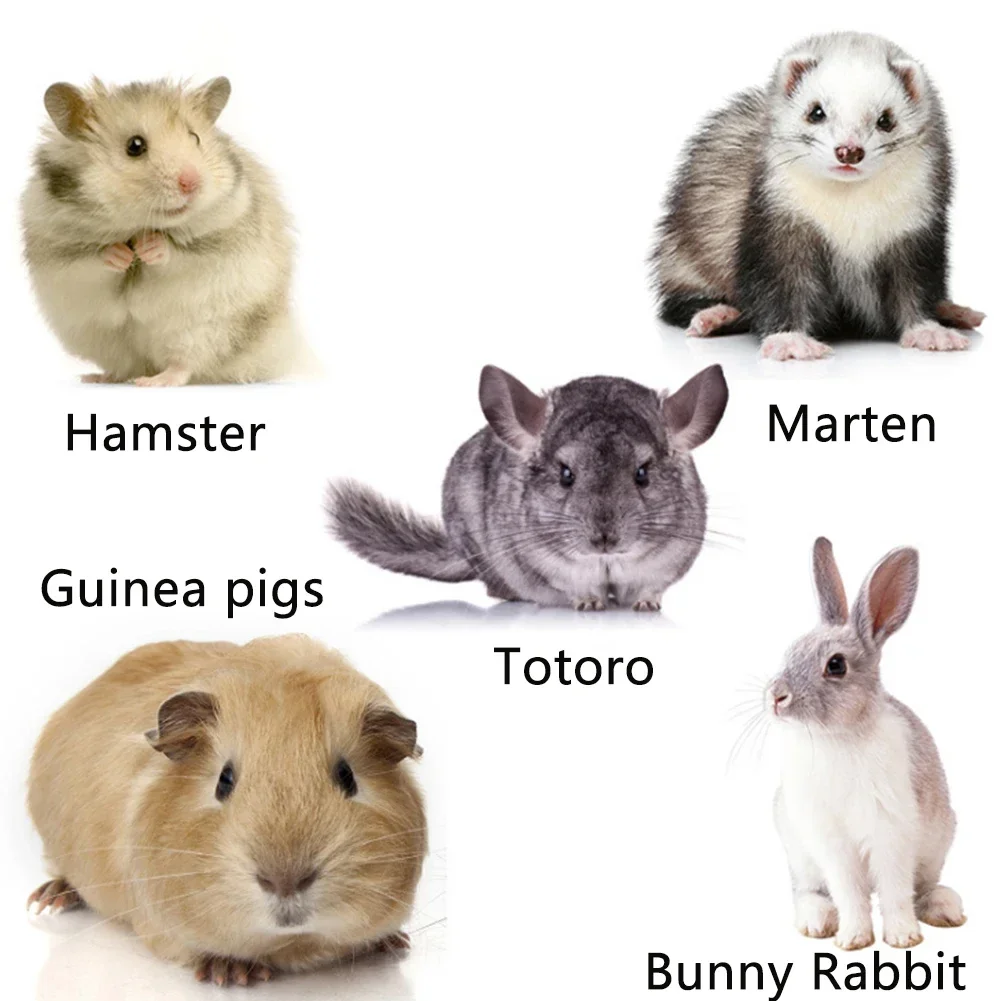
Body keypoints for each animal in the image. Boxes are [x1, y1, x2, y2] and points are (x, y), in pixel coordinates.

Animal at [21, 77, 310, 385]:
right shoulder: (57, 248)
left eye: (195, 138)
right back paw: (98, 377)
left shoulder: (221, 236)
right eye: (135, 146)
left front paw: (149, 248)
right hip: (104, 340)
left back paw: (153, 382)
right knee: (126, 366)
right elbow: (92, 259)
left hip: (205, 331)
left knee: (184, 365)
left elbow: (178, 252)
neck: (137, 225)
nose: (192, 183)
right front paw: (121, 255)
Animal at [27, 636, 426, 985]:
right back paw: (48, 899)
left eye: (348, 777)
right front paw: (231, 974)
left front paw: (392, 942)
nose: (284, 880)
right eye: (224, 780)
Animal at [327, 364, 728, 610]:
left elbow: (651, 587)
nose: (604, 539)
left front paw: (646, 605)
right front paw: (589, 604)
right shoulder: (545, 564)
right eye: (565, 474)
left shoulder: (668, 563)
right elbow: (575, 588)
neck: (606, 563)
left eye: (643, 473)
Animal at [652, 32, 985, 360]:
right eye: (816, 112)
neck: (851, 217)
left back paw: (957, 312)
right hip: (682, 263)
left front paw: (930, 331)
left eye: (886, 119)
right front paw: (789, 341)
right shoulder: (777, 230)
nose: (849, 150)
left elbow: (916, 290)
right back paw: (715, 315)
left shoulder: (916, 236)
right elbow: (778, 288)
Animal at [765, 540, 964, 950]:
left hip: (937, 845)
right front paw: (853, 939)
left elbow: (894, 890)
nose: (775, 697)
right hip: (800, 855)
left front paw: (903, 938)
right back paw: (816, 922)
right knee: (809, 892)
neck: (838, 737)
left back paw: (946, 908)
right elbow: (849, 891)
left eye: (836, 665)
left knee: (922, 888)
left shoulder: (891, 832)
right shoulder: (831, 842)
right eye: (790, 651)